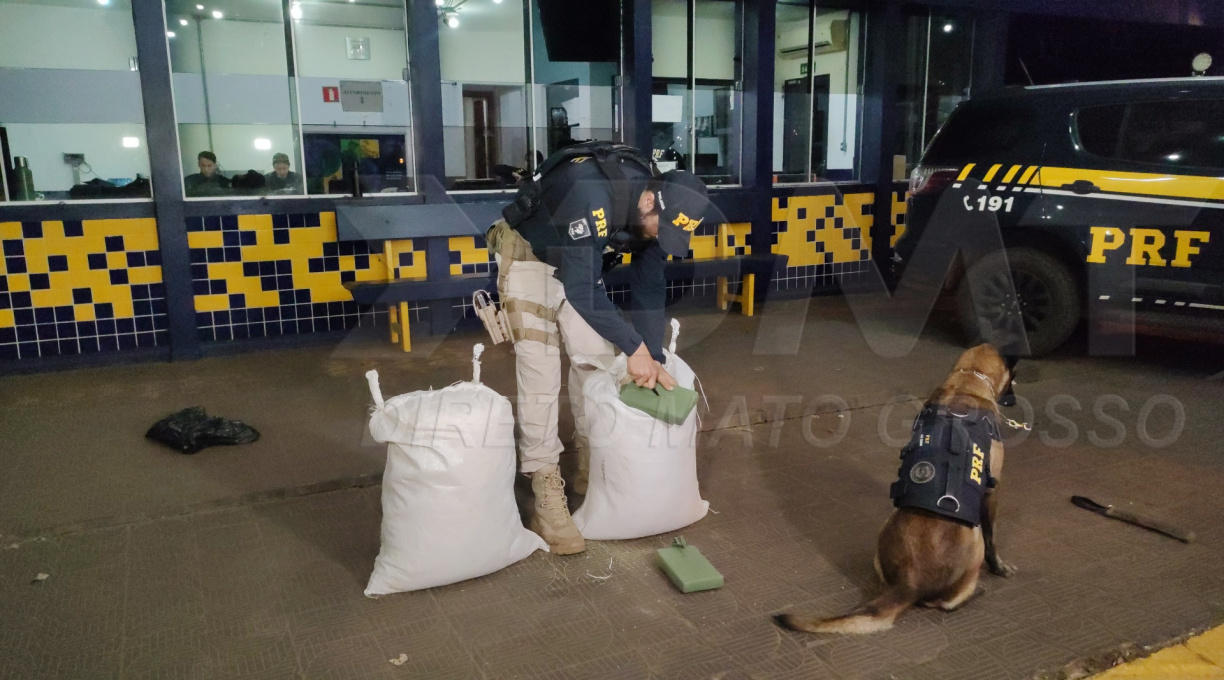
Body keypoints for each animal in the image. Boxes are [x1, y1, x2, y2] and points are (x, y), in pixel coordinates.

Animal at [773, 347, 1023, 635]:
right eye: (1013, 378)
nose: (1014, 398)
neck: (968, 379)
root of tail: (910, 583)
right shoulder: (993, 491)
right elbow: (994, 536)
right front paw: (999, 567)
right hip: (974, 538)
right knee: (946, 604)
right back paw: (975, 592)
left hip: (886, 527)